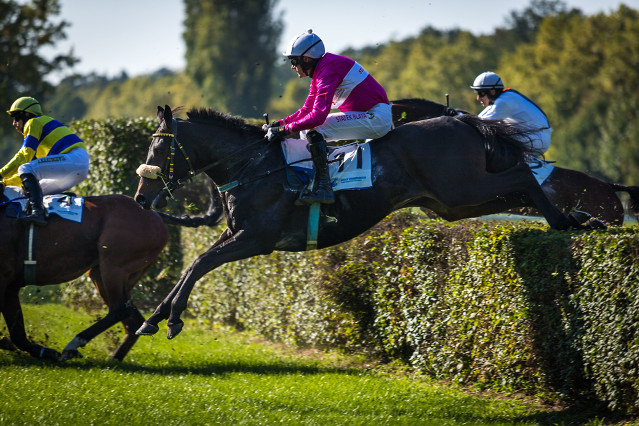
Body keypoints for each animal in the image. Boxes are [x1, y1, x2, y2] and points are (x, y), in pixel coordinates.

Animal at [0, 191, 169, 362]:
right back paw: (115, 358)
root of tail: (155, 214)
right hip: (102, 274)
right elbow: (17, 334)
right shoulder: (10, 287)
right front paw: (43, 351)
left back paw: (74, 345)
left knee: (120, 310)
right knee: (134, 321)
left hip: (113, 267)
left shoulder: (4, 277)